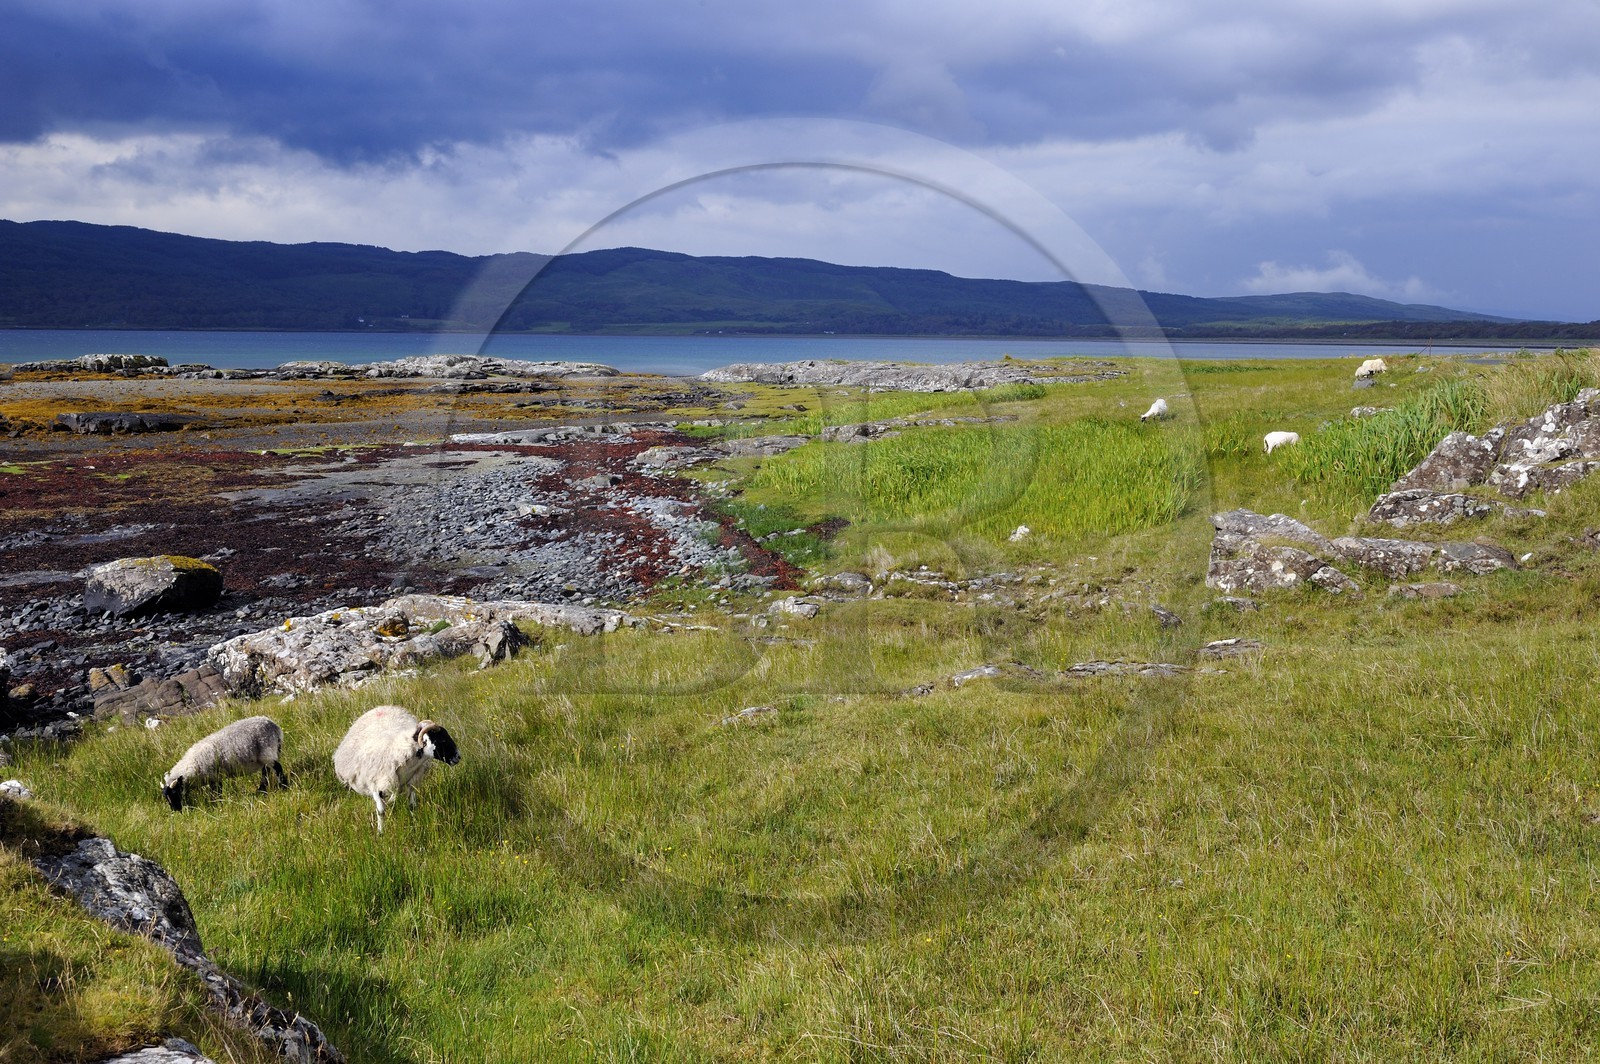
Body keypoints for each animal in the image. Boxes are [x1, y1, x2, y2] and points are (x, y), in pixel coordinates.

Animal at [332, 704, 460, 833]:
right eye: (442, 740)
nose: (458, 757)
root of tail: (381, 707)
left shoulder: (412, 782)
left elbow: (411, 806)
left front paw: (414, 825)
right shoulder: (376, 785)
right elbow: (381, 811)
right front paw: (380, 832)